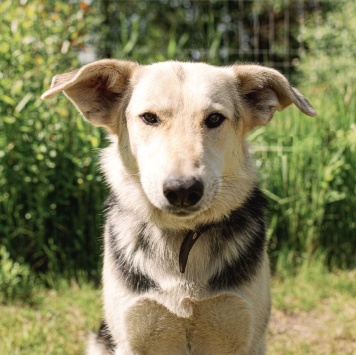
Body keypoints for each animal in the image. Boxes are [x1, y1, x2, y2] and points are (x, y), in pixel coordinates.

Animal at [40, 59, 316, 354]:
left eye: (214, 119)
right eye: (149, 118)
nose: (182, 190)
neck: (183, 235)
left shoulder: (246, 338)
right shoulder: (130, 339)